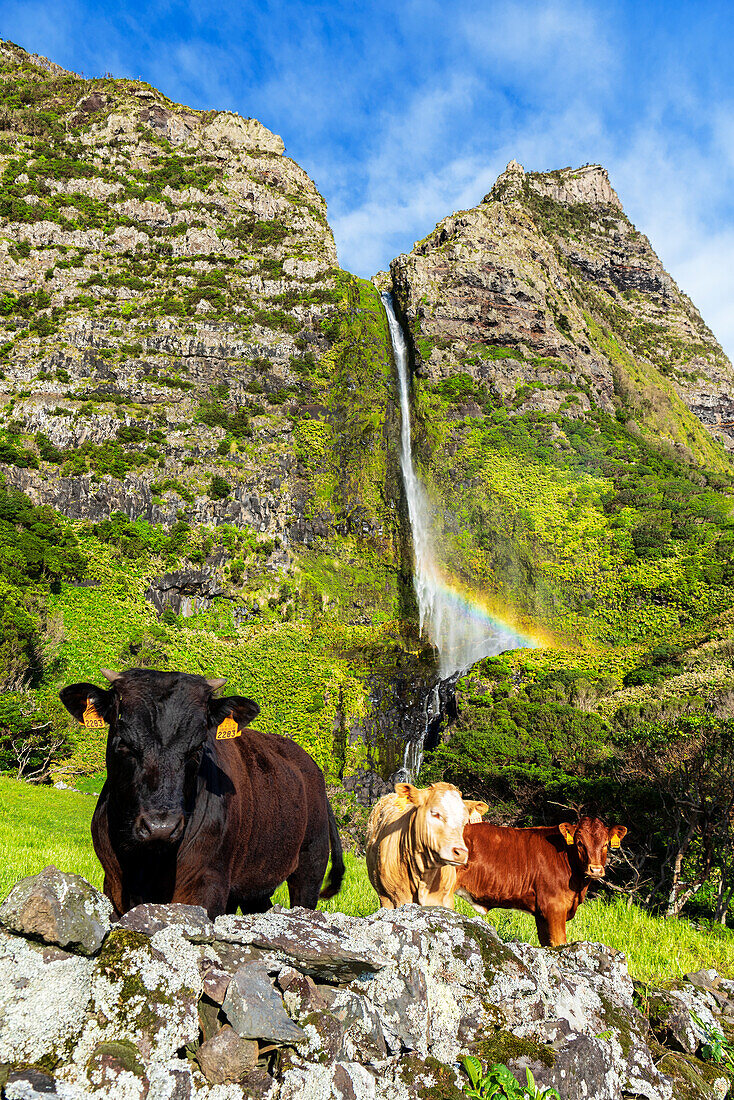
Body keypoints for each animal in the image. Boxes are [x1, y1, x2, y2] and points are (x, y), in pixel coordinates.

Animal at [59, 668, 345, 919]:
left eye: (197, 748)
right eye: (124, 743)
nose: (161, 827)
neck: (149, 864)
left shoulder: (207, 885)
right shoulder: (115, 884)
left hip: (311, 860)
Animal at [453, 818, 625, 946]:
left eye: (605, 844)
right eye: (579, 843)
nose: (595, 870)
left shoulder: (542, 914)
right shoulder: (554, 906)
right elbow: (558, 943)